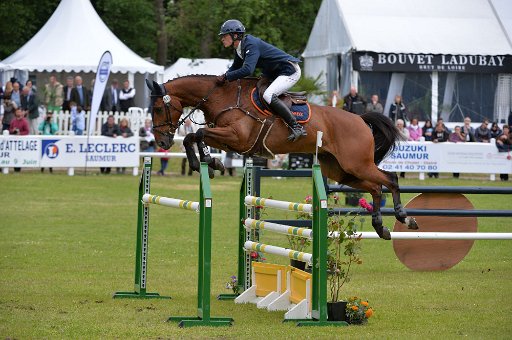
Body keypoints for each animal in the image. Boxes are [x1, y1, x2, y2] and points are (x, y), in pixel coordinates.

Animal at [146, 75, 418, 239]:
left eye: (158, 108)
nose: (162, 142)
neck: (220, 97)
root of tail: (360, 119)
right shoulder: (226, 138)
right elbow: (194, 137)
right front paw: (209, 163)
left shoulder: (237, 137)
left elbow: (199, 133)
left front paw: (208, 162)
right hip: (341, 171)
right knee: (375, 187)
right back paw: (381, 227)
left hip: (357, 164)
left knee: (390, 179)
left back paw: (404, 218)